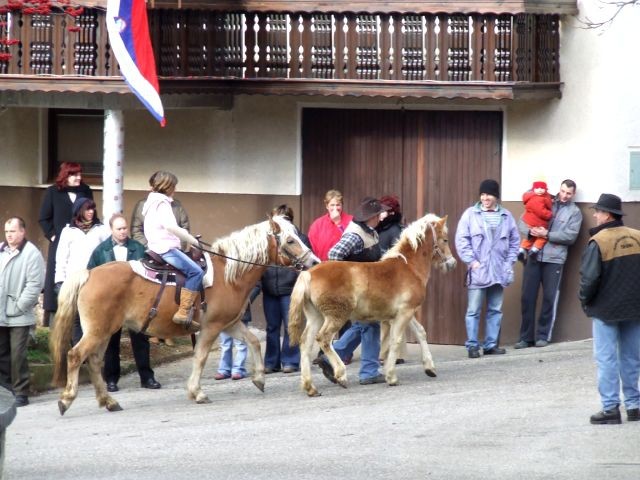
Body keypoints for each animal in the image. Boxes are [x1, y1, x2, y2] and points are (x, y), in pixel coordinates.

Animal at [50, 216, 320, 414]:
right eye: (290, 240)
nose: (315, 261)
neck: (229, 274)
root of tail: (89, 273)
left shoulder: (230, 324)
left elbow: (253, 341)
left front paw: (259, 379)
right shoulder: (212, 327)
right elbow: (200, 357)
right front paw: (197, 392)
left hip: (105, 331)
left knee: (94, 361)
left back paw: (108, 401)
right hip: (98, 331)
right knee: (75, 355)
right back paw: (66, 399)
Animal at [288, 214, 458, 398]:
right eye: (445, 239)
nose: (452, 263)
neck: (409, 267)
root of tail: (308, 273)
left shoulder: (406, 312)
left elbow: (421, 332)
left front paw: (430, 368)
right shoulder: (404, 313)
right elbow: (396, 340)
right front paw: (391, 376)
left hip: (316, 316)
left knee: (305, 342)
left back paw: (310, 387)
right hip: (336, 315)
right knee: (323, 339)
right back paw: (340, 375)